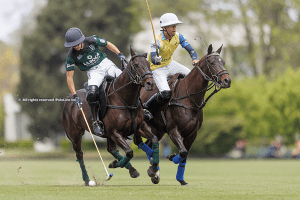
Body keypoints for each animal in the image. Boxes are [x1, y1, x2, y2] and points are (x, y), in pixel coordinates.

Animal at [62, 47, 161, 185]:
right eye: (136, 65)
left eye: (148, 64)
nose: (150, 83)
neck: (126, 101)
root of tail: (69, 97)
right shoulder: (115, 131)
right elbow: (129, 152)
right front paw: (115, 164)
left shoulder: (140, 126)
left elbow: (154, 140)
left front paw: (153, 170)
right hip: (75, 134)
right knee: (80, 155)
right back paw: (87, 180)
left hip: (107, 135)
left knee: (111, 149)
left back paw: (132, 169)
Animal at [141, 44, 232, 186]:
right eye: (212, 63)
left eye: (223, 62)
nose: (227, 81)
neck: (189, 98)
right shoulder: (173, 130)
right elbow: (183, 152)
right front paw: (171, 157)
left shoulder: (192, 133)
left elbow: (185, 155)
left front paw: (181, 179)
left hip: (158, 130)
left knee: (150, 143)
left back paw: (154, 170)